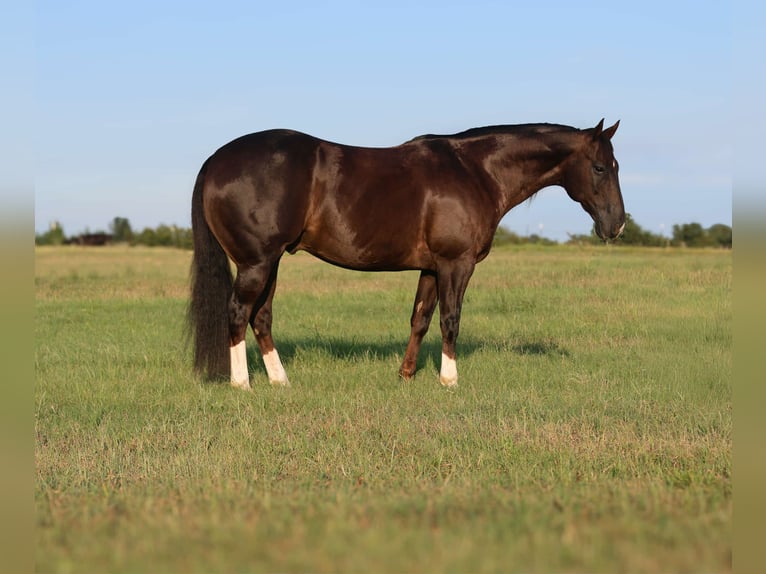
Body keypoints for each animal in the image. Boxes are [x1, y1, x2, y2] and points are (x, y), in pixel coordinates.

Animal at [189, 119, 624, 389]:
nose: (617, 225)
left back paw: (281, 382)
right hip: (256, 262)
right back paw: (242, 384)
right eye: (601, 167)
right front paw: (449, 379)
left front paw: (406, 375)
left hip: (272, 261)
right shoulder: (456, 264)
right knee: (238, 313)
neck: (474, 171)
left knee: (261, 317)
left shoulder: (431, 268)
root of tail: (215, 160)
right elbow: (450, 319)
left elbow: (420, 319)